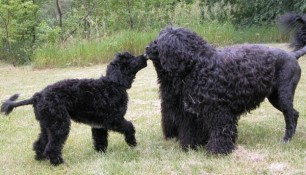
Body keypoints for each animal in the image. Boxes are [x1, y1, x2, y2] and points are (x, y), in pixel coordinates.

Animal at [1, 52, 147, 165]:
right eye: (130, 58)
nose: (144, 56)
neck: (113, 83)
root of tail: (37, 96)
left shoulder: (99, 124)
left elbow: (100, 140)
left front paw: (101, 154)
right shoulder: (114, 120)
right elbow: (129, 127)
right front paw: (132, 142)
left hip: (47, 125)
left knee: (40, 143)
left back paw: (41, 158)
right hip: (60, 124)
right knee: (52, 146)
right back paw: (58, 162)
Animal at [145, 12, 306, 154]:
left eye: (158, 42)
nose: (146, 48)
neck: (199, 63)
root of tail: (292, 55)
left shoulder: (219, 110)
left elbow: (220, 131)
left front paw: (217, 150)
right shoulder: (195, 112)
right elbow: (192, 130)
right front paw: (191, 146)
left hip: (283, 95)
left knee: (290, 117)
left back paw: (286, 139)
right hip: (275, 98)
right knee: (294, 114)